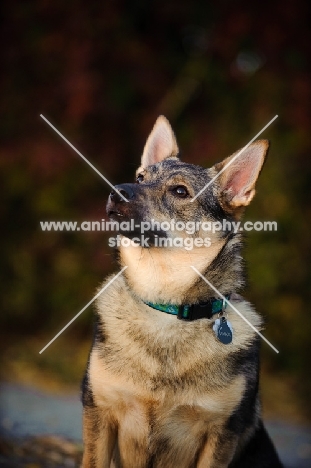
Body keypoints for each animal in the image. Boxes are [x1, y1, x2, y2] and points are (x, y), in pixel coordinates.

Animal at [81, 117, 286, 468]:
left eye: (179, 191)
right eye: (140, 177)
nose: (116, 190)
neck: (165, 308)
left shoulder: (221, 433)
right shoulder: (100, 412)